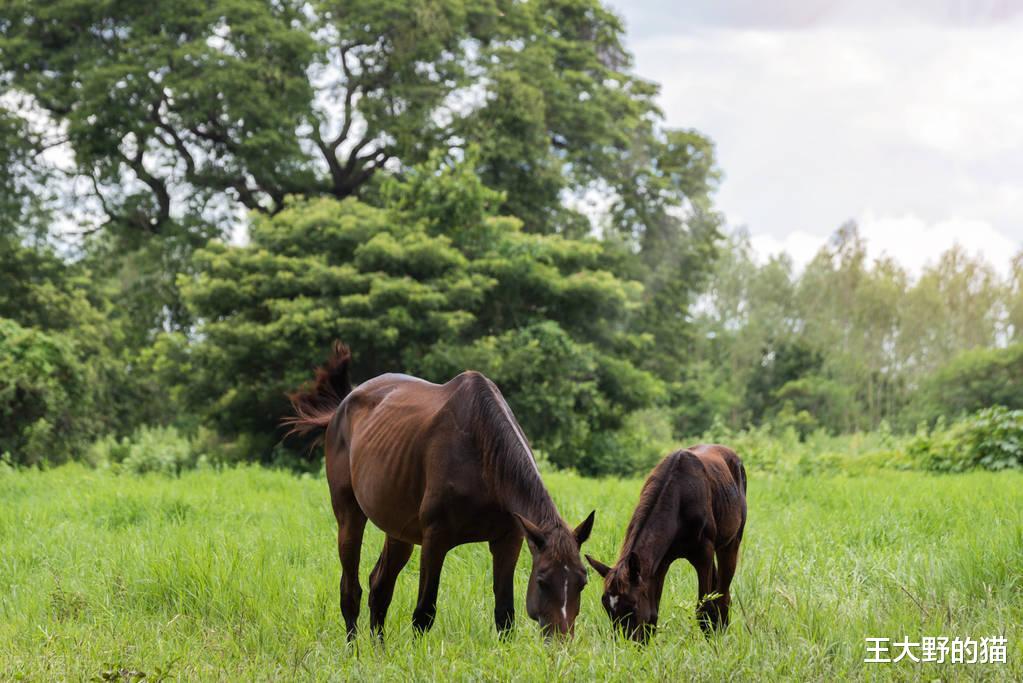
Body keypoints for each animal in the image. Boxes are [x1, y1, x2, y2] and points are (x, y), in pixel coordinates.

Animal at [284, 343, 597, 638]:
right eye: (542, 581)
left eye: (582, 581)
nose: (560, 640)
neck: (482, 452)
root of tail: (342, 406)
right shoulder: (435, 539)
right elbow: (424, 612)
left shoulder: (508, 540)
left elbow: (504, 615)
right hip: (349, 517)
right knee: (351, 590)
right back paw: (356, 652)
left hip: (399, 532)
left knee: (380, 588)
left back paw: (379, 651)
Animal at [585, 445, 744, 642]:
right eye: (607, 607)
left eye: (632, 606)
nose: (626, 643)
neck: (679, 498)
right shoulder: (660, 563)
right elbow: (652, 614)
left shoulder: (704, 555)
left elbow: (704, 610)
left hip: (731, 543)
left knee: (723, 594)